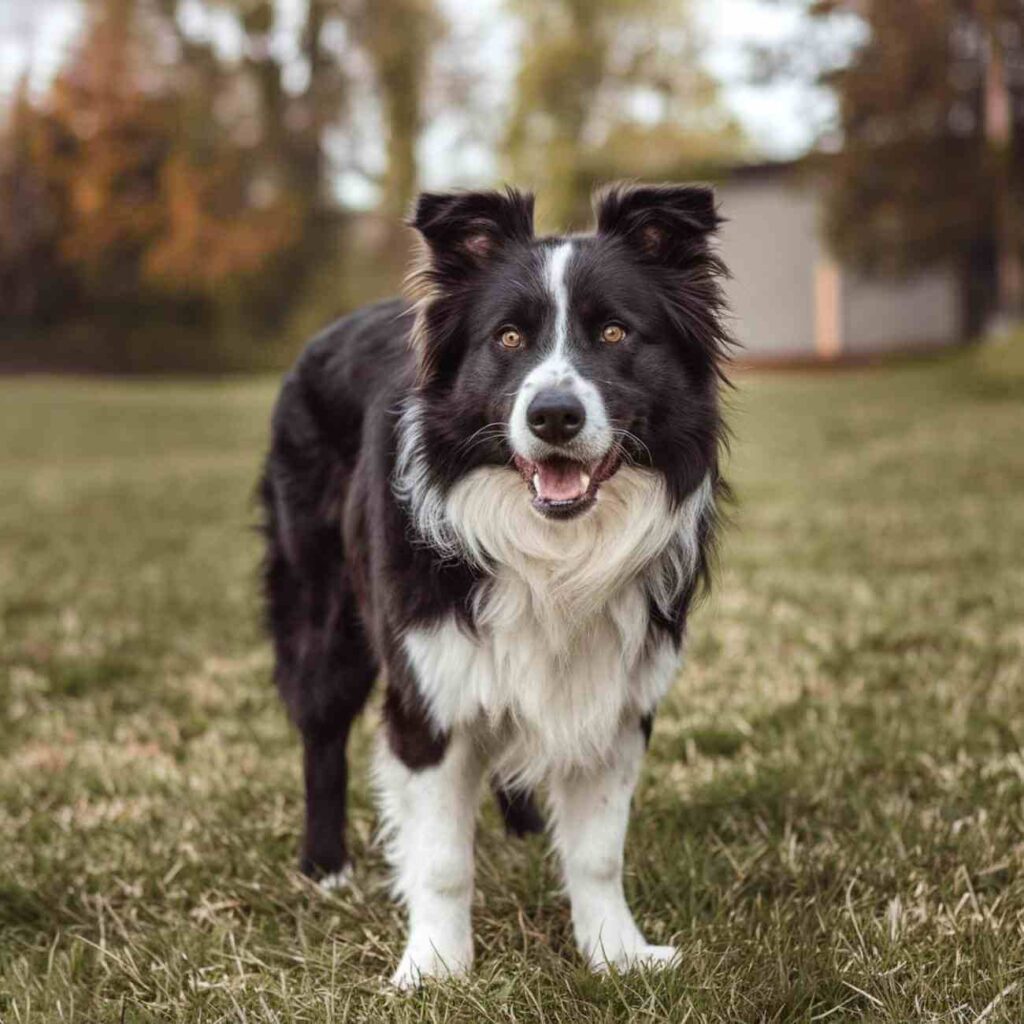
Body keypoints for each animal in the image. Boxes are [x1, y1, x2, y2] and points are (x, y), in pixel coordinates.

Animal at [260, 182, 733, 983]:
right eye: (507, 339)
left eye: (614, 333)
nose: (553, 416)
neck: (552, 547)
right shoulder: (428, 689)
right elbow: (442, 857)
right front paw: (435, 968)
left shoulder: (619, 691)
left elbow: (599, 850)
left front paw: (615, 952)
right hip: (320, 610)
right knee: (321, 733)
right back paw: (325, 867)